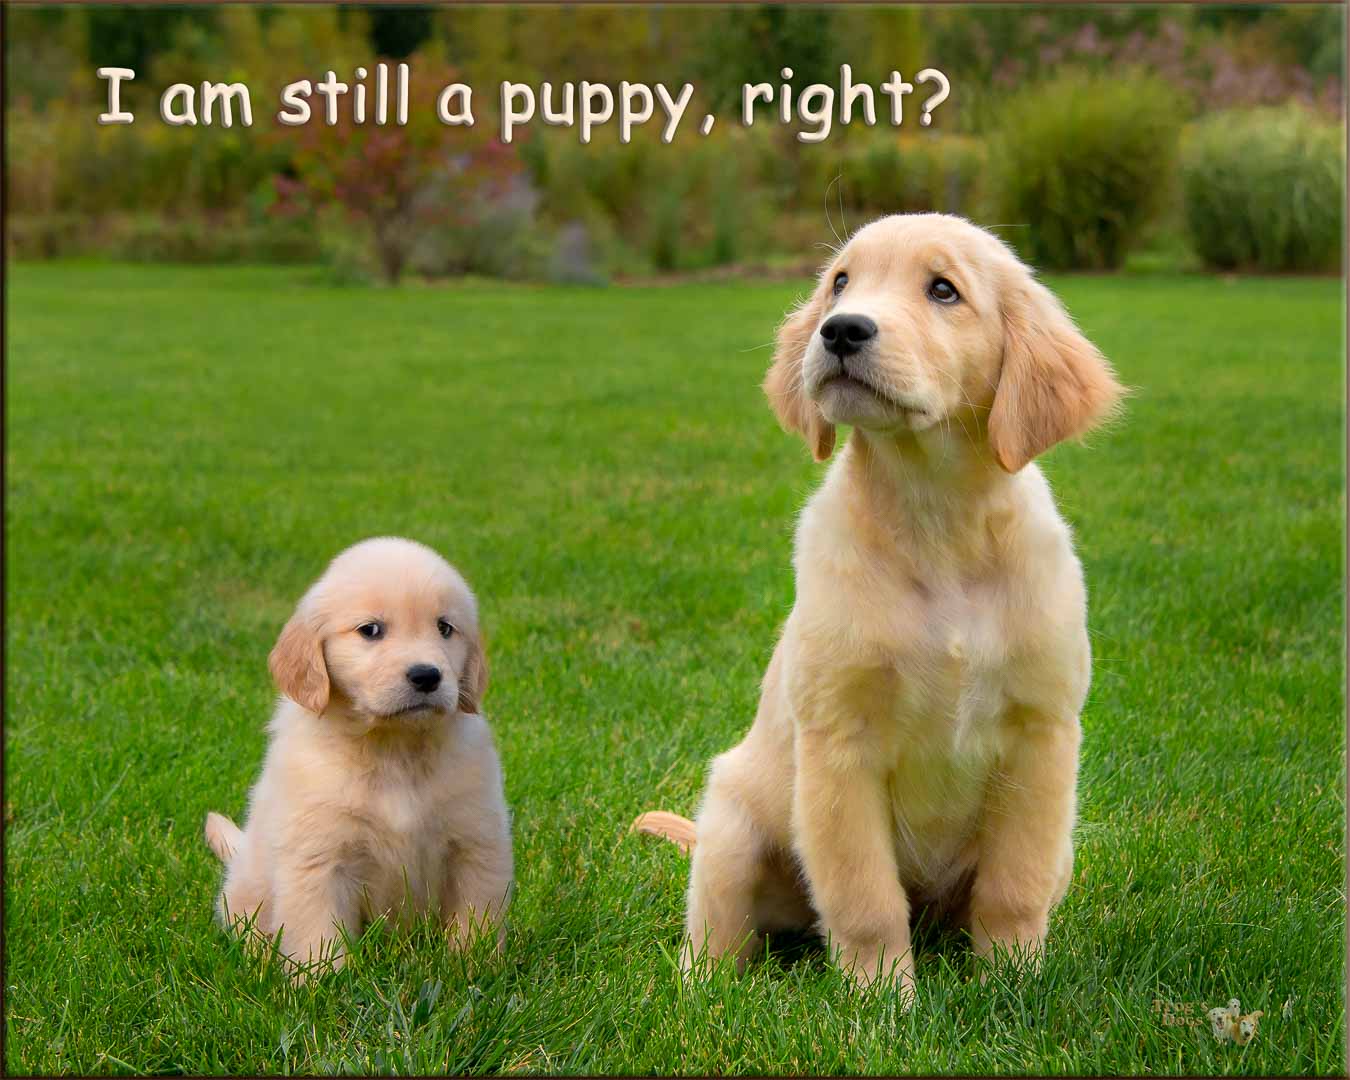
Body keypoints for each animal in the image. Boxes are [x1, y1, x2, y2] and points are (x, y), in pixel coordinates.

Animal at [203, 534, 510, 972]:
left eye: (445, 628)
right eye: (371, 630)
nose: (427, 675)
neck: (393, 746)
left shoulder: (476, 842)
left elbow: (476, 917)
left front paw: (474, 968)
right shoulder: (318, 857)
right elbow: (317, 934)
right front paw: (321, 981)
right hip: (245, 893)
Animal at [637, 214, 1123, 999]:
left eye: (943, 290)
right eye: (840, 281)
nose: (839, 330)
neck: (935, 526)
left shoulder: (1042, 736)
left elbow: (1013, 888)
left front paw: (1012, 985)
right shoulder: (840, 747)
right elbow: (864, 898)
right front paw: (882, 1002)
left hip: (1062, 847)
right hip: (732, 824)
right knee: (716, 931)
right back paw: (702, 989)